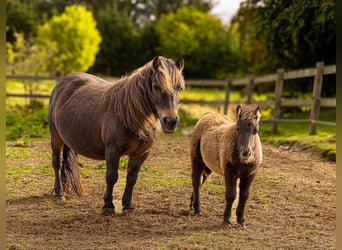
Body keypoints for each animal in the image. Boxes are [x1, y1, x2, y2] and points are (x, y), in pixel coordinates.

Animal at [48, 55, 184, 215]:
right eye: (156, 86)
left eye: (180, 88)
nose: (171, 121)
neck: (129, 114)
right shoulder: (113, 150)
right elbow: (112, 177)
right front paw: (108, 206)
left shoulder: (141, 154)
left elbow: (132, 178)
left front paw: (128, 205)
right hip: (56, 137)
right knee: (57, 162)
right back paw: (59, 194)